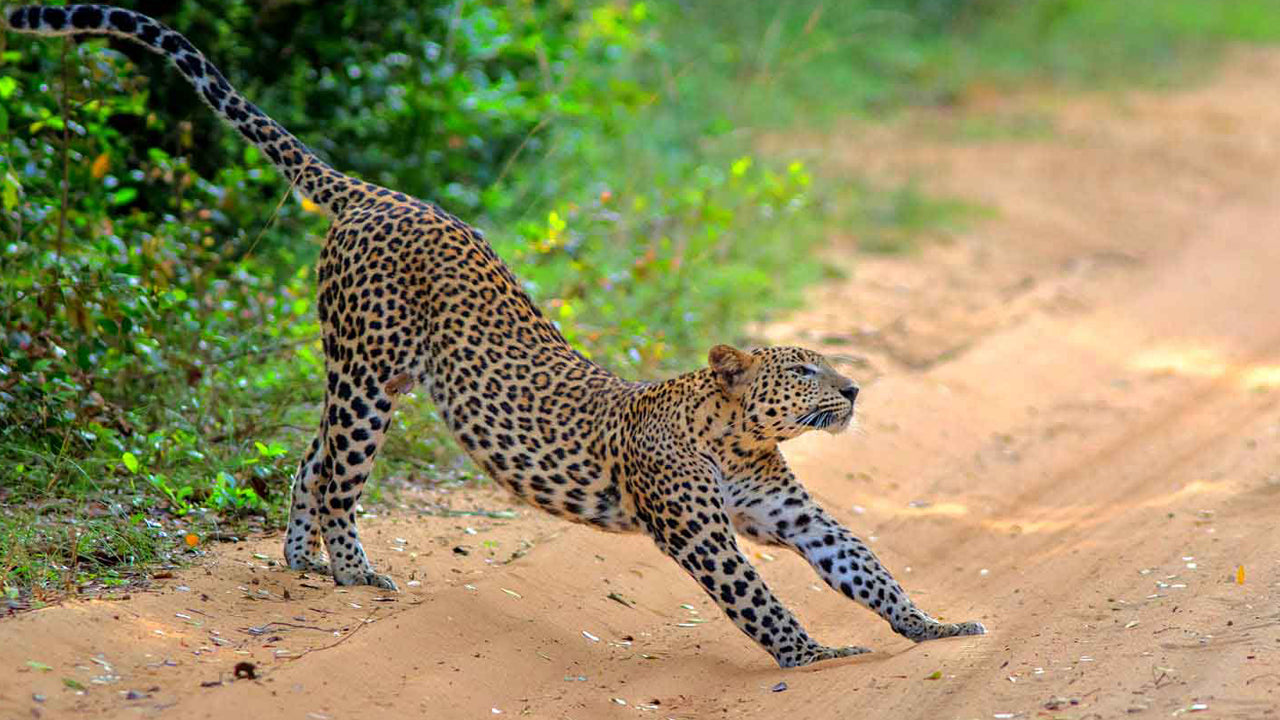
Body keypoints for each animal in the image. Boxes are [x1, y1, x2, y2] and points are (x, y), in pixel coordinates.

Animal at [5, 4, 983, 666]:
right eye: (807, 368)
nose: (853, 390)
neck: (733, 437)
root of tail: (373, 192)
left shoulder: (791, 513)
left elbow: (864, 564)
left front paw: (934, 625)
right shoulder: (699, 529)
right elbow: (754, 595)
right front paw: (814, 654)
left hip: (370, 374)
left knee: (310, 458)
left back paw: (301, 563)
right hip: (368, 371)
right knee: (339, 476)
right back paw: (354, 573)